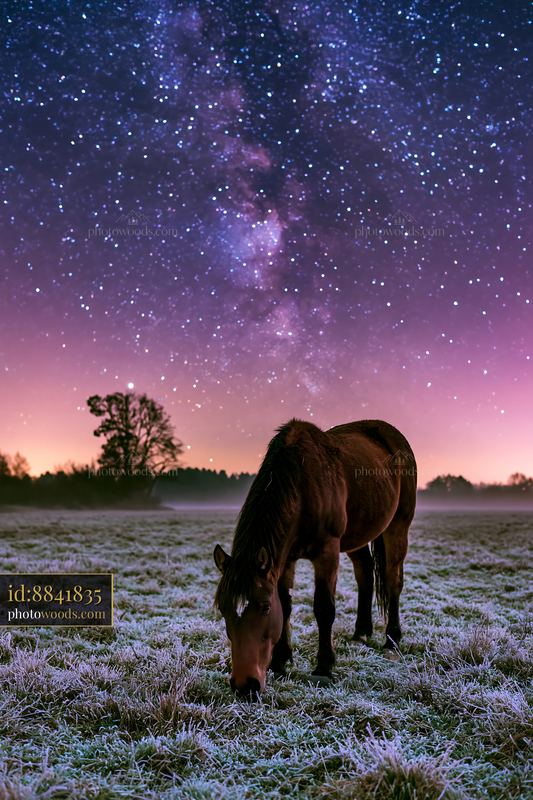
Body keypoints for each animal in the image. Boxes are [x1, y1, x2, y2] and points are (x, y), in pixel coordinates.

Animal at [214, 418, 417, 697]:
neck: (302, 486)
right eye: (223, 608)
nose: (245, 685)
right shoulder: (286, 559)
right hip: (358, 535)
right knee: (365, 573)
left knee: (393, 580)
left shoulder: (327, 553)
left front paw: (323, 667)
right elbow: (286, 605)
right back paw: (361, 633)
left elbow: (323, 607)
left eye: (264, 608)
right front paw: (280, 661)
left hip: (397, 526)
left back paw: (391, 642)